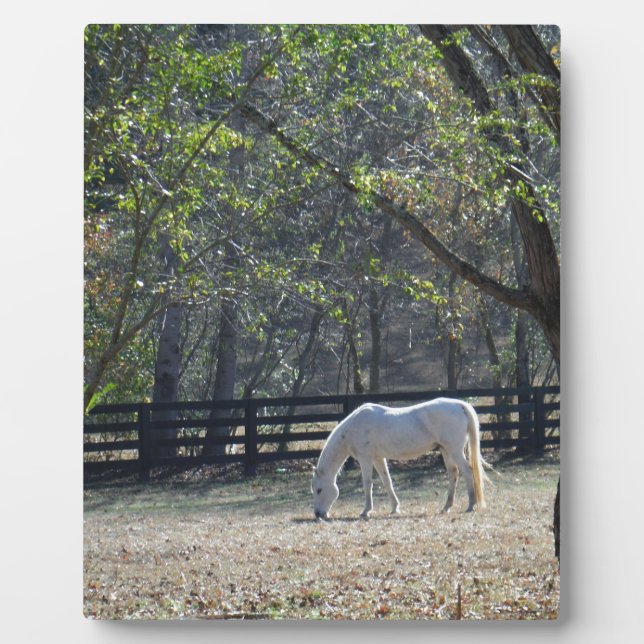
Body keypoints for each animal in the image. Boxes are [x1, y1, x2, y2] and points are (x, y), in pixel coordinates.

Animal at [311, 397, 492, 520]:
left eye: (319, 490)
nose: (318, 514)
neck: (354, 426)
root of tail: (459, 405)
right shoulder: (378, 458)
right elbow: (387, 481)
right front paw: (394, 508)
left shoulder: (365, 458)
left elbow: (367, 483)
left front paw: (366, 511)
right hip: (446, 451)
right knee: (453, 474)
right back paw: (446, 507)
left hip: (454, 451)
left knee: (468, 472)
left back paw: (471, 504)